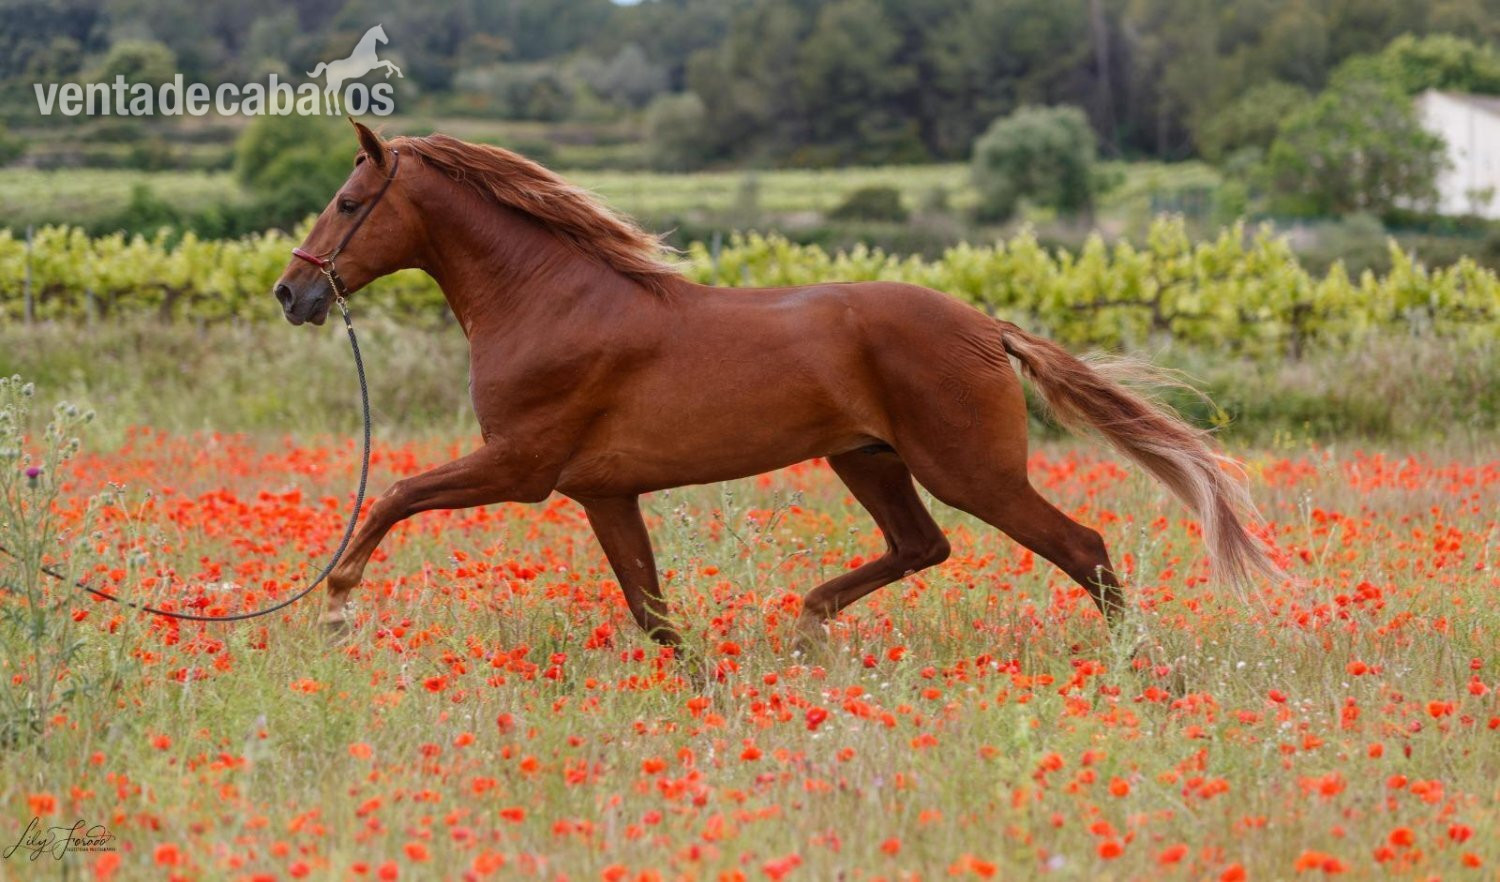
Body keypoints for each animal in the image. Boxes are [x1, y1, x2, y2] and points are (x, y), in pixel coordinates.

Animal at [273, 121, 1273, 652]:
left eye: (349, 203)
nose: (294, 292)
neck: (550, 299)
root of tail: (987, 327)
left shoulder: (519, 468)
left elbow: (394, 493)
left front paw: (337, 604)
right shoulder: (603, 491)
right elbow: (653, 615)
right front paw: (706, 691)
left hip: (968, 469)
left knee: (1082, 546)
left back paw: (1134, 664)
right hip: (866, 459)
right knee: (923, 546)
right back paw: (807, 623)